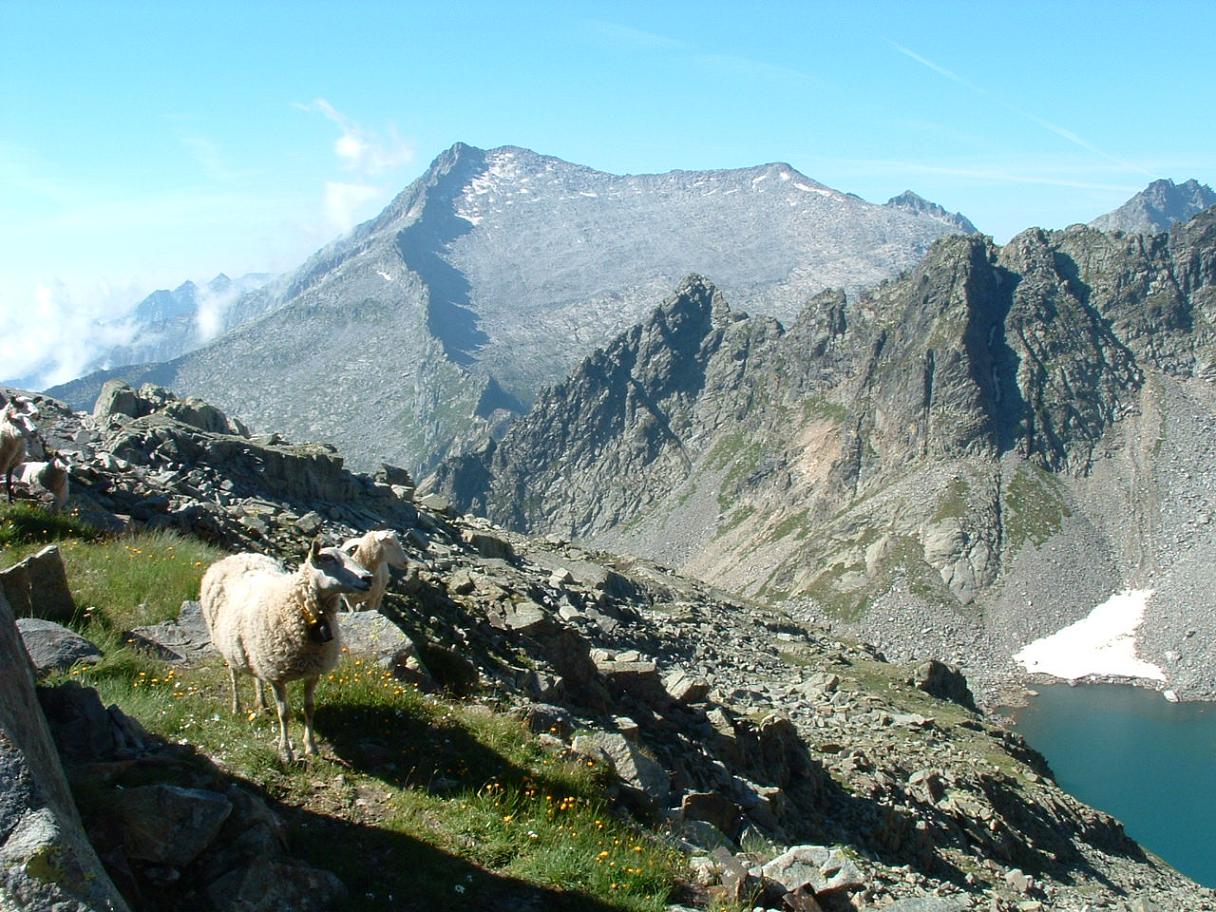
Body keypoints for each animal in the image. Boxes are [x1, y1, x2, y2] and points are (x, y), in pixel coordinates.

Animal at [199, 539, 372, 758]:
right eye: (328, 559)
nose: (368, 578)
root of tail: (238, 556)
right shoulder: (276, 675)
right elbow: (284, 713)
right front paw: (286, 750)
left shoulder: (312, 671)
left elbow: (309, 708)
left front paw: (311, 746)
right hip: (230, 646)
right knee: (234, 676)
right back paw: (237, 708)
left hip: (255, 650)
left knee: (256, 676)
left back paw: (262, 705)